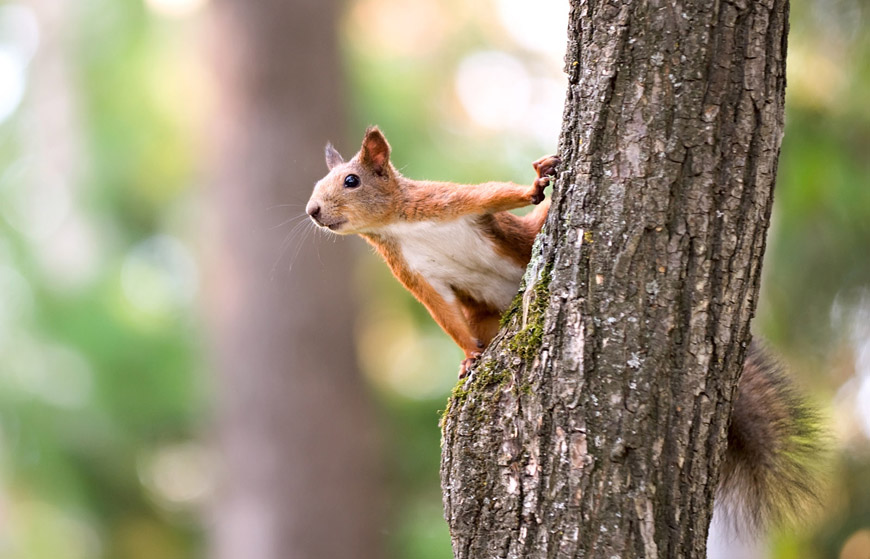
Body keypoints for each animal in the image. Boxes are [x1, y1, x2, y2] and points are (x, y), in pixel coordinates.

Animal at [306, 127, 564, 378]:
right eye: (316, 185)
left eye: (351, 180)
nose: (312, 210)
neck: (393, 225)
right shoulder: (411, 268)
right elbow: (442, 307)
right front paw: (470, 355)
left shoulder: (444, 200)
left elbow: (492, 194)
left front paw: (533, 187)